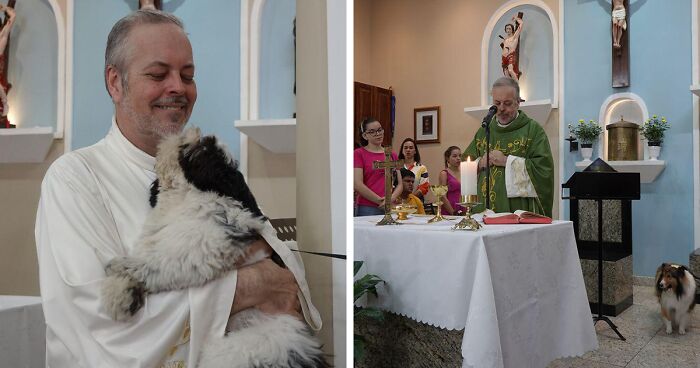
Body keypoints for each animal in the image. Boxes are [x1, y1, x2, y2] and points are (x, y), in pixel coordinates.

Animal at [100, 127, 328, 368]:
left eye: (204, 151)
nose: (194, 131)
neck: (182, 199)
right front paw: (120, 295)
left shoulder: (206, 246)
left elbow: (160, 264)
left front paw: (121, 268)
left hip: (243, 349)